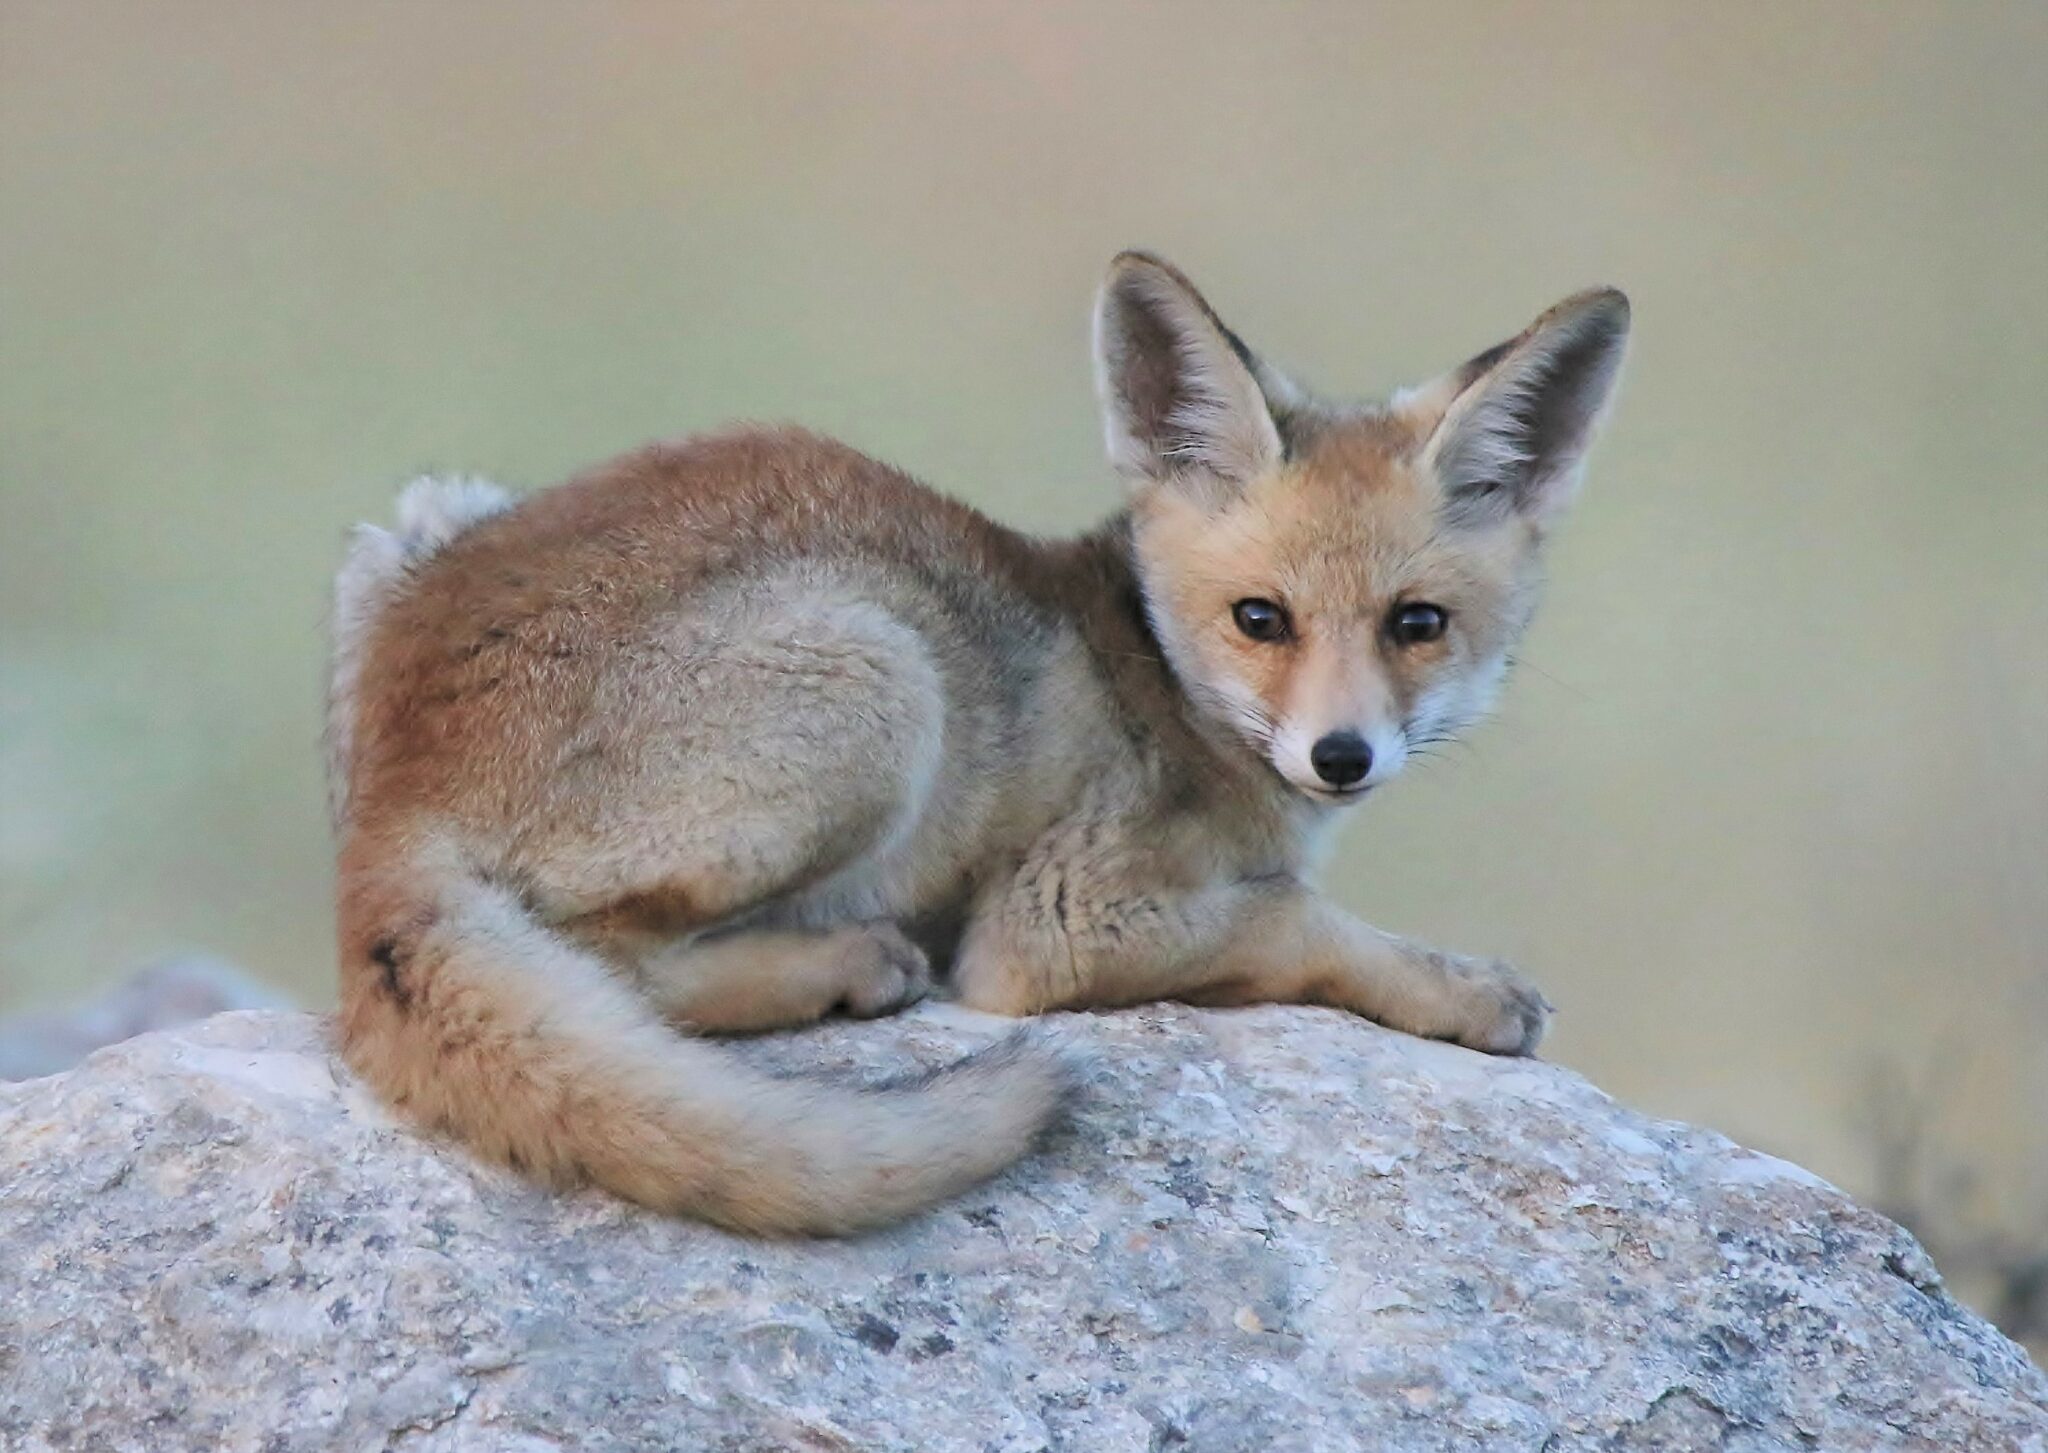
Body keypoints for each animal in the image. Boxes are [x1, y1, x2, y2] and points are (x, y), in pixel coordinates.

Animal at [323, 255, 1630, 1229]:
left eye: (1417, 624)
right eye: (1260, 619)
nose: (1340, 757)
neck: (1151, 673)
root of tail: (393, 800)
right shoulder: (1053, 925)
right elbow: (1294, 920)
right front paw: (1460, 989)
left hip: (420, 519)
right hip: (878, 680)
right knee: (612, 963)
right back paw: (845, 964)